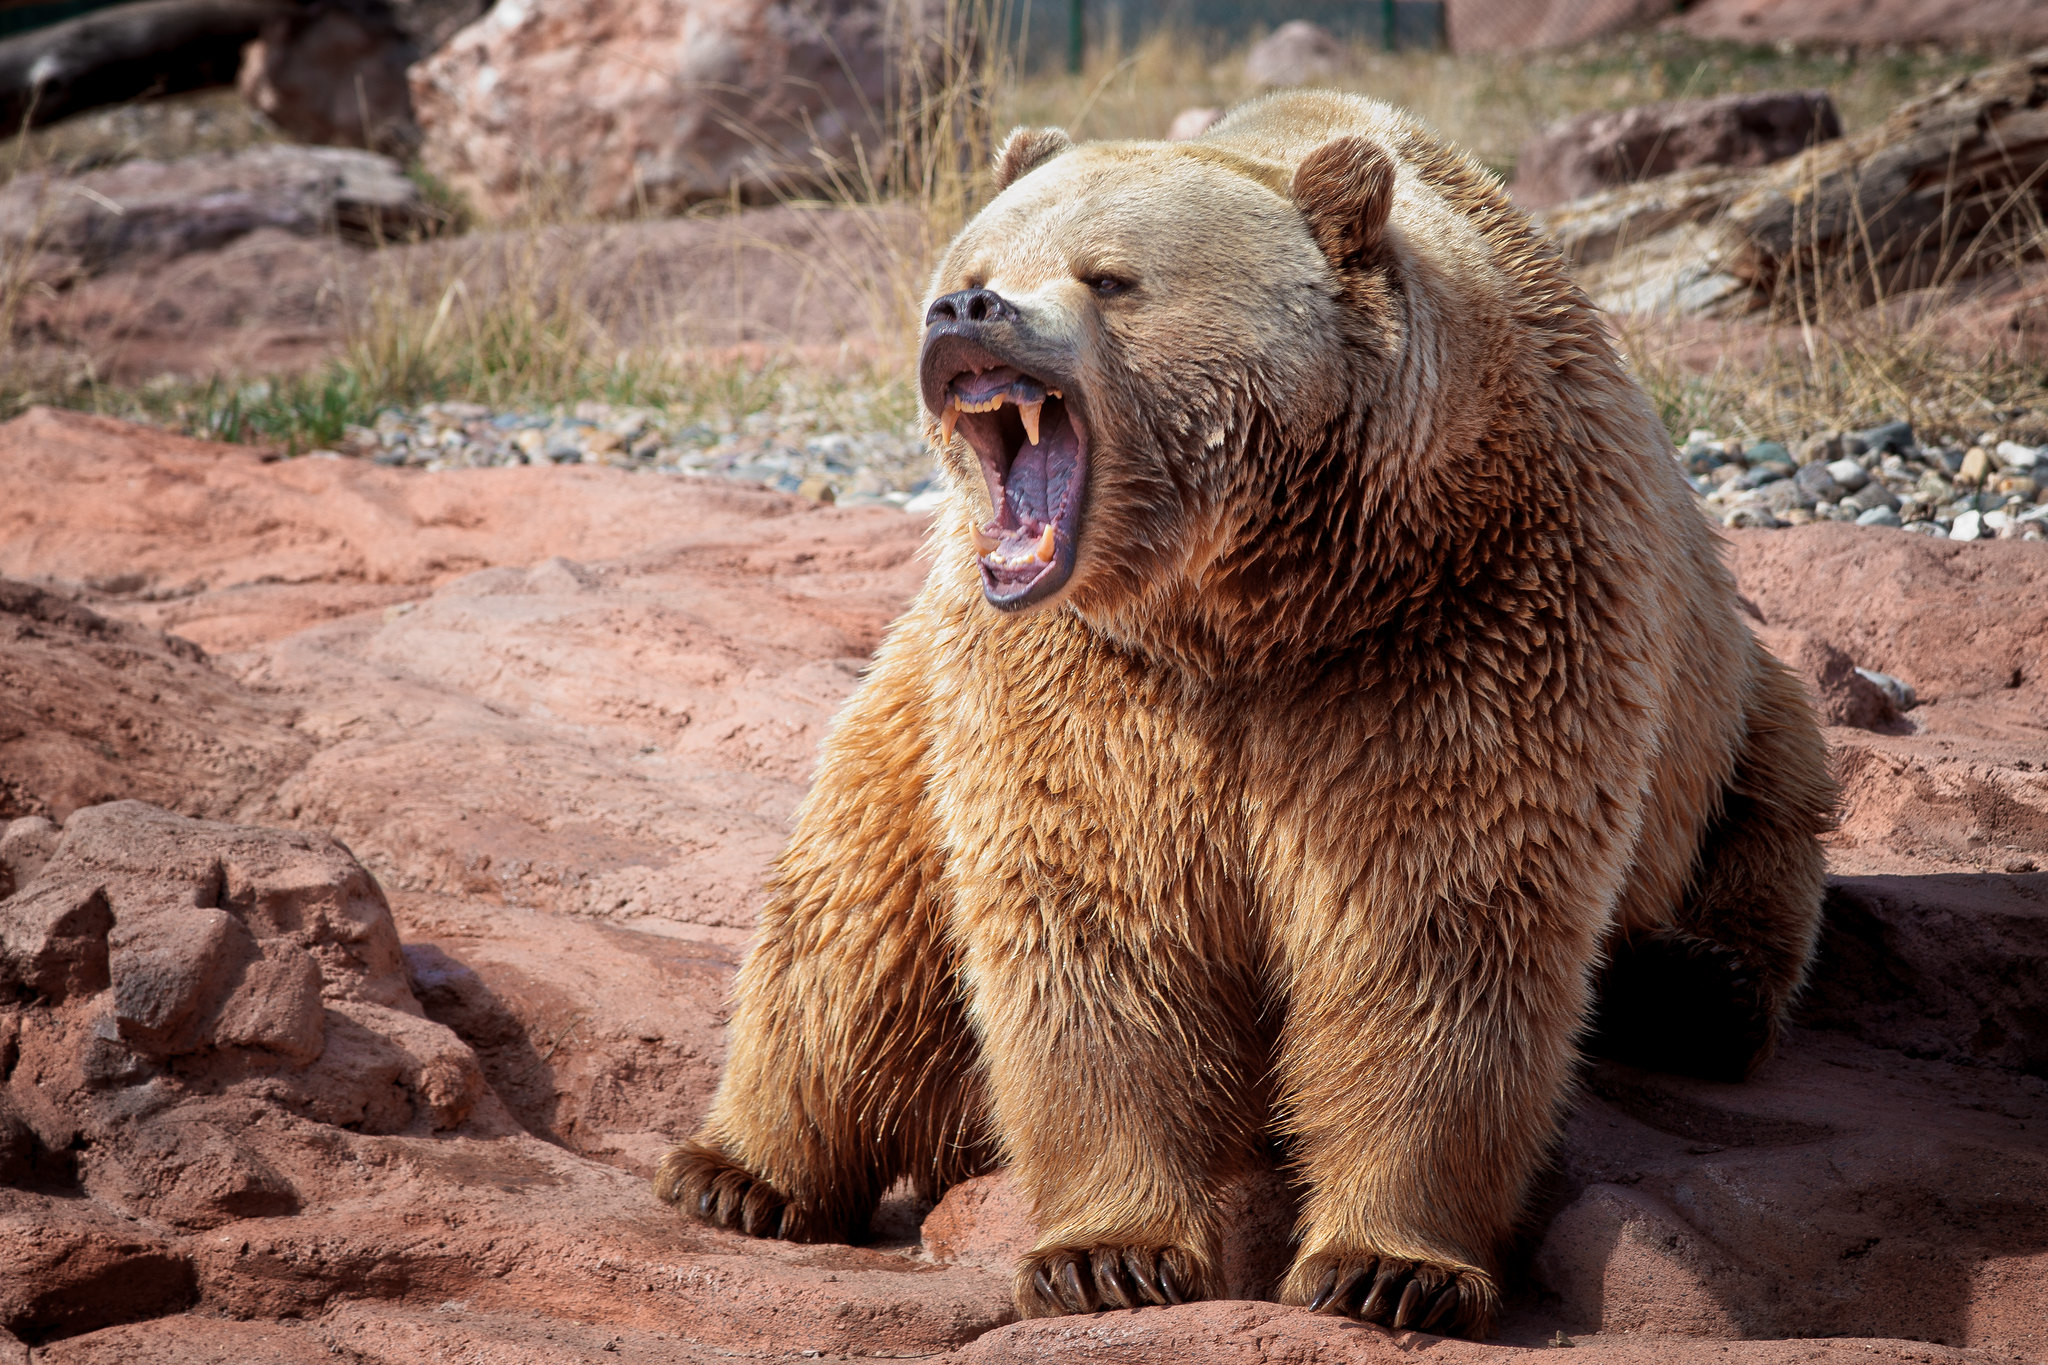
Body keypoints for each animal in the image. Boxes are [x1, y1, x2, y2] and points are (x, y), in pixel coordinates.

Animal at [654, 89, 1836, 1339]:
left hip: (1730, 704)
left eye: (1108, 276)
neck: (1250, 605)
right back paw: (740, 1173)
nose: (965, 310)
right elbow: (1096, 934)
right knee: (853, 912)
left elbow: (1430, 940)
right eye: (972, 265)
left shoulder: (1459, 634)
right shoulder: (1082, 685)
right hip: (912, 705)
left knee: (1772, 816)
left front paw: (1387, 1267)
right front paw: (1106, 1255)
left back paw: (1693, 986)